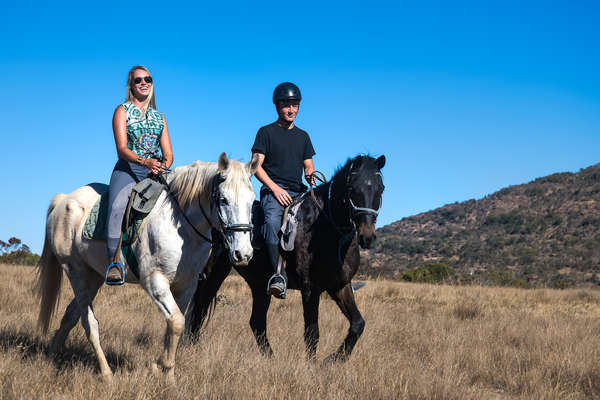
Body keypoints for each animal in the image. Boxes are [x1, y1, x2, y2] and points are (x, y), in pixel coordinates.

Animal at [35, 152, 258, 382]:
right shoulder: (155, 281)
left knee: (70, 315)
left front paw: (165, 373)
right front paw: (163, 369)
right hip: (75, 272)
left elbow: (174, 325)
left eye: (252, 201)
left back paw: (51, 356)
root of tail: (64, 200)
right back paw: (106, 374)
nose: (243, 254)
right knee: (90, 323)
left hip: (93, 277)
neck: (182, 227)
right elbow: (176, 322)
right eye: (223, 199)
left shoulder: (187, 286)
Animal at [190, 155, 386, 360]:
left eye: (381, 188)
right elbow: (312, 332)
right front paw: (312, 364)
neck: (326, 231)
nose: (367, 237)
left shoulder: (340, 286)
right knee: (200, 309)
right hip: (214, 273)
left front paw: (333, 359)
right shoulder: (310, 289)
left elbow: (358, 324)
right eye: (353, 189)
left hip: (259, 285)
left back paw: (271, 359)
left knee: (256, 322)